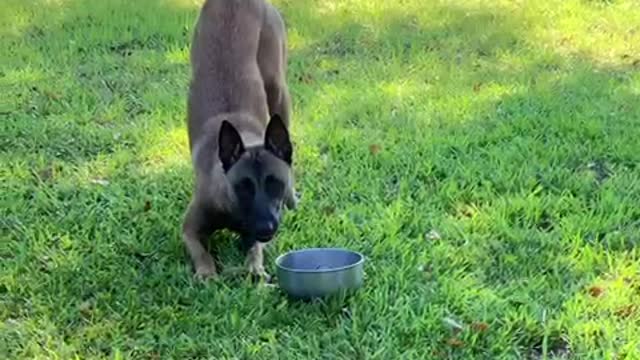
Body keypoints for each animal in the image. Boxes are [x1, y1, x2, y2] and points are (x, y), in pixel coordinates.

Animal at [182, 0, 298, 282]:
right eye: (243, 186)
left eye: (274, 183)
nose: (266, 227)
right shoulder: (189, 228)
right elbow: (201, 252)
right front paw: (207, 273)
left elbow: (254, 250)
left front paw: (255, 267)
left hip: (277, 88)